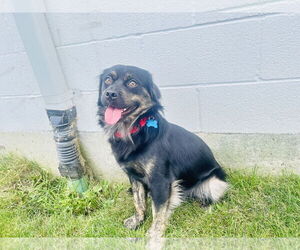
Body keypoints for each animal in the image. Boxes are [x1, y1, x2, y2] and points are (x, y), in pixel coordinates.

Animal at [97, 64, 229, 238]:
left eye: (132, 83)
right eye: (107, 80)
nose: (110, 93)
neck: (132, 130)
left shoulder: (159, 180)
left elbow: (158, 211)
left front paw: (154, 232)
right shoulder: (134, 176)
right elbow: (138, 201)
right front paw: (137, 221)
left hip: (214, 183)